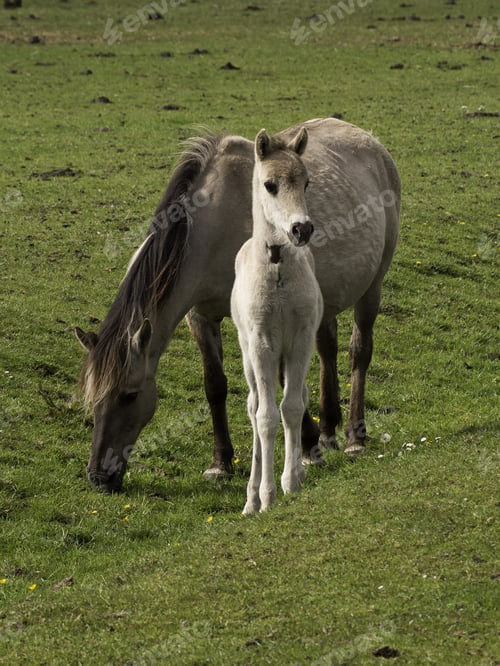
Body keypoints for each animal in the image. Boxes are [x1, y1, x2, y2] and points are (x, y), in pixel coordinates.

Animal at [75, 117, 400, 493]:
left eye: (129, 395)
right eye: (93, 398)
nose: (98, 477)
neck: (216, 225)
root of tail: (371, 143)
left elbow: (280, 378)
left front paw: (307, 447)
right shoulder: (200, 316)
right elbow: (215, 385)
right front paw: (221, 462)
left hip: (371, 289)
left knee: (359, 352)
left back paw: (353, 437)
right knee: (326, 349)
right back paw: (328, 429)